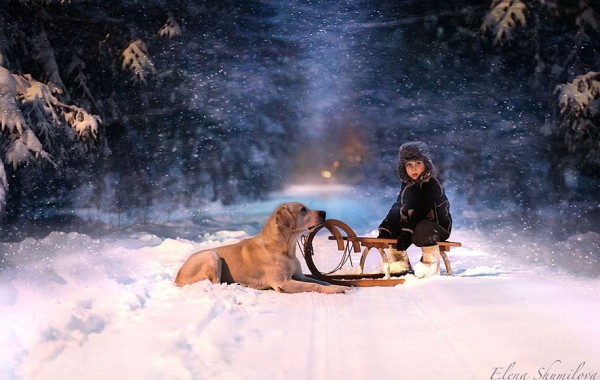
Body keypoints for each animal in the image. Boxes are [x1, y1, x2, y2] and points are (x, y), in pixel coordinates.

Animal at [173, 202, 352, 294]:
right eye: (303, 210)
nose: (324, 212)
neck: (285, 248)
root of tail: (177, 277)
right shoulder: (283, 282)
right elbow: (314, 286)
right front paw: (336, 289)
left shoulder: (299, 276)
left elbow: (319, 281)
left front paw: (339, 285)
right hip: (212, 257)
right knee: (216, 284)